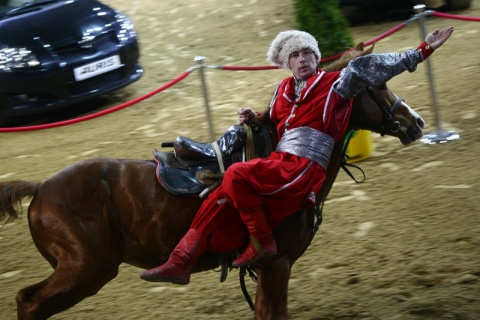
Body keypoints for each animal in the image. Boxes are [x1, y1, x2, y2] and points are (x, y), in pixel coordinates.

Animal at [0, 44, 424, 320]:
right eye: (378, 83)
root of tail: (41, 188)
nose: (416, 122)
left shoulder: (273, 270)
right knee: (29, 302)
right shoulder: (275, 264)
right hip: (85, 268)